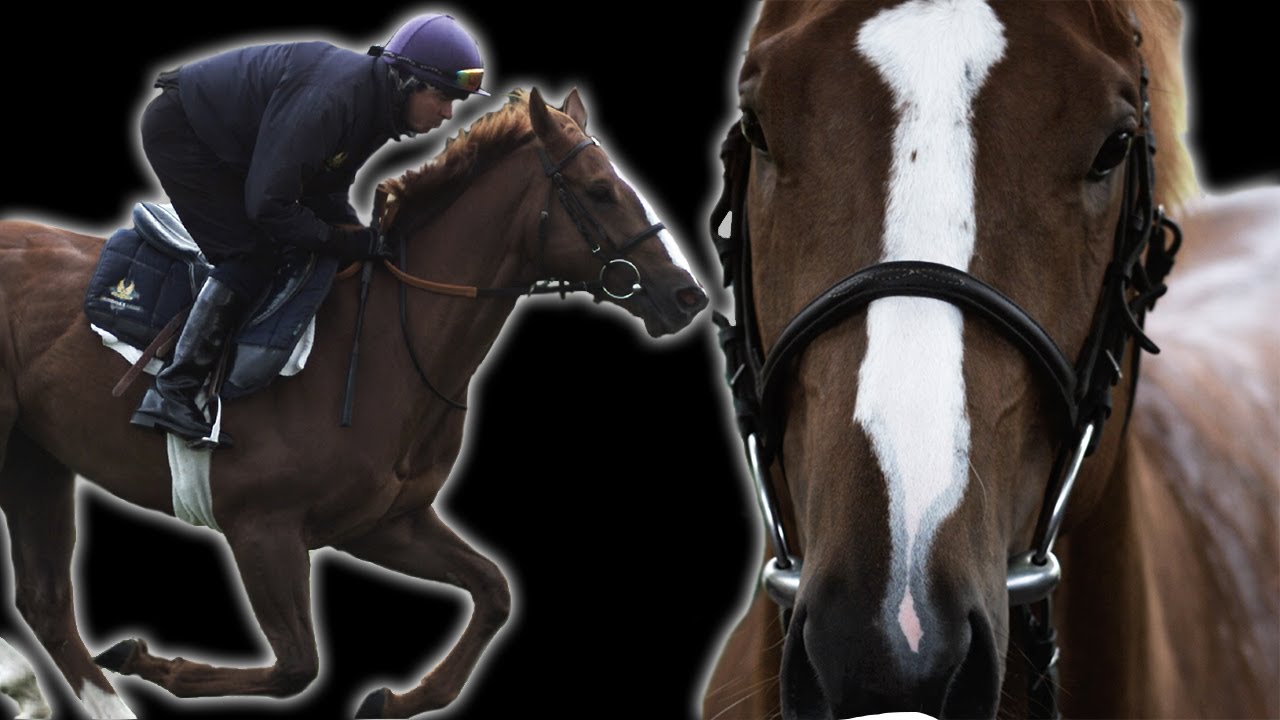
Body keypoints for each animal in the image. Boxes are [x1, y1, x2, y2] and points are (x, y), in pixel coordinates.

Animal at [0, 86, 708, 719]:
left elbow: (495, 592)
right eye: (600, 191)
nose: (686, 296)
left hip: (34, 457)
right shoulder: (262, 527)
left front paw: (394, 699)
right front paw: (150, 660)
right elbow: (297, 667)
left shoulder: (381, 523)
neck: (385, 347)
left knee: (46, 603)